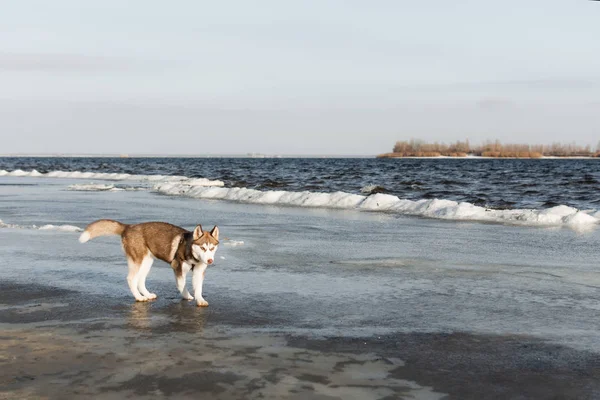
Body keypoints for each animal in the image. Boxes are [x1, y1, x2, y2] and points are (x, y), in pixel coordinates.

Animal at [78, 219, 219, 306]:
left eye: (212, 248)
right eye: (203, 248)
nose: (210, 260)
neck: (191, 252)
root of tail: (128, 227)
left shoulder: (199, 271)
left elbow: (198, 288)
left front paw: (200, 300)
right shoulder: (177, 267)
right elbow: (181, 284)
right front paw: (187, 295)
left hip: (146, 262)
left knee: (140, 280)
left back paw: (146, 294)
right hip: (137, 261)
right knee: (131, 279)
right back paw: (139, 297)